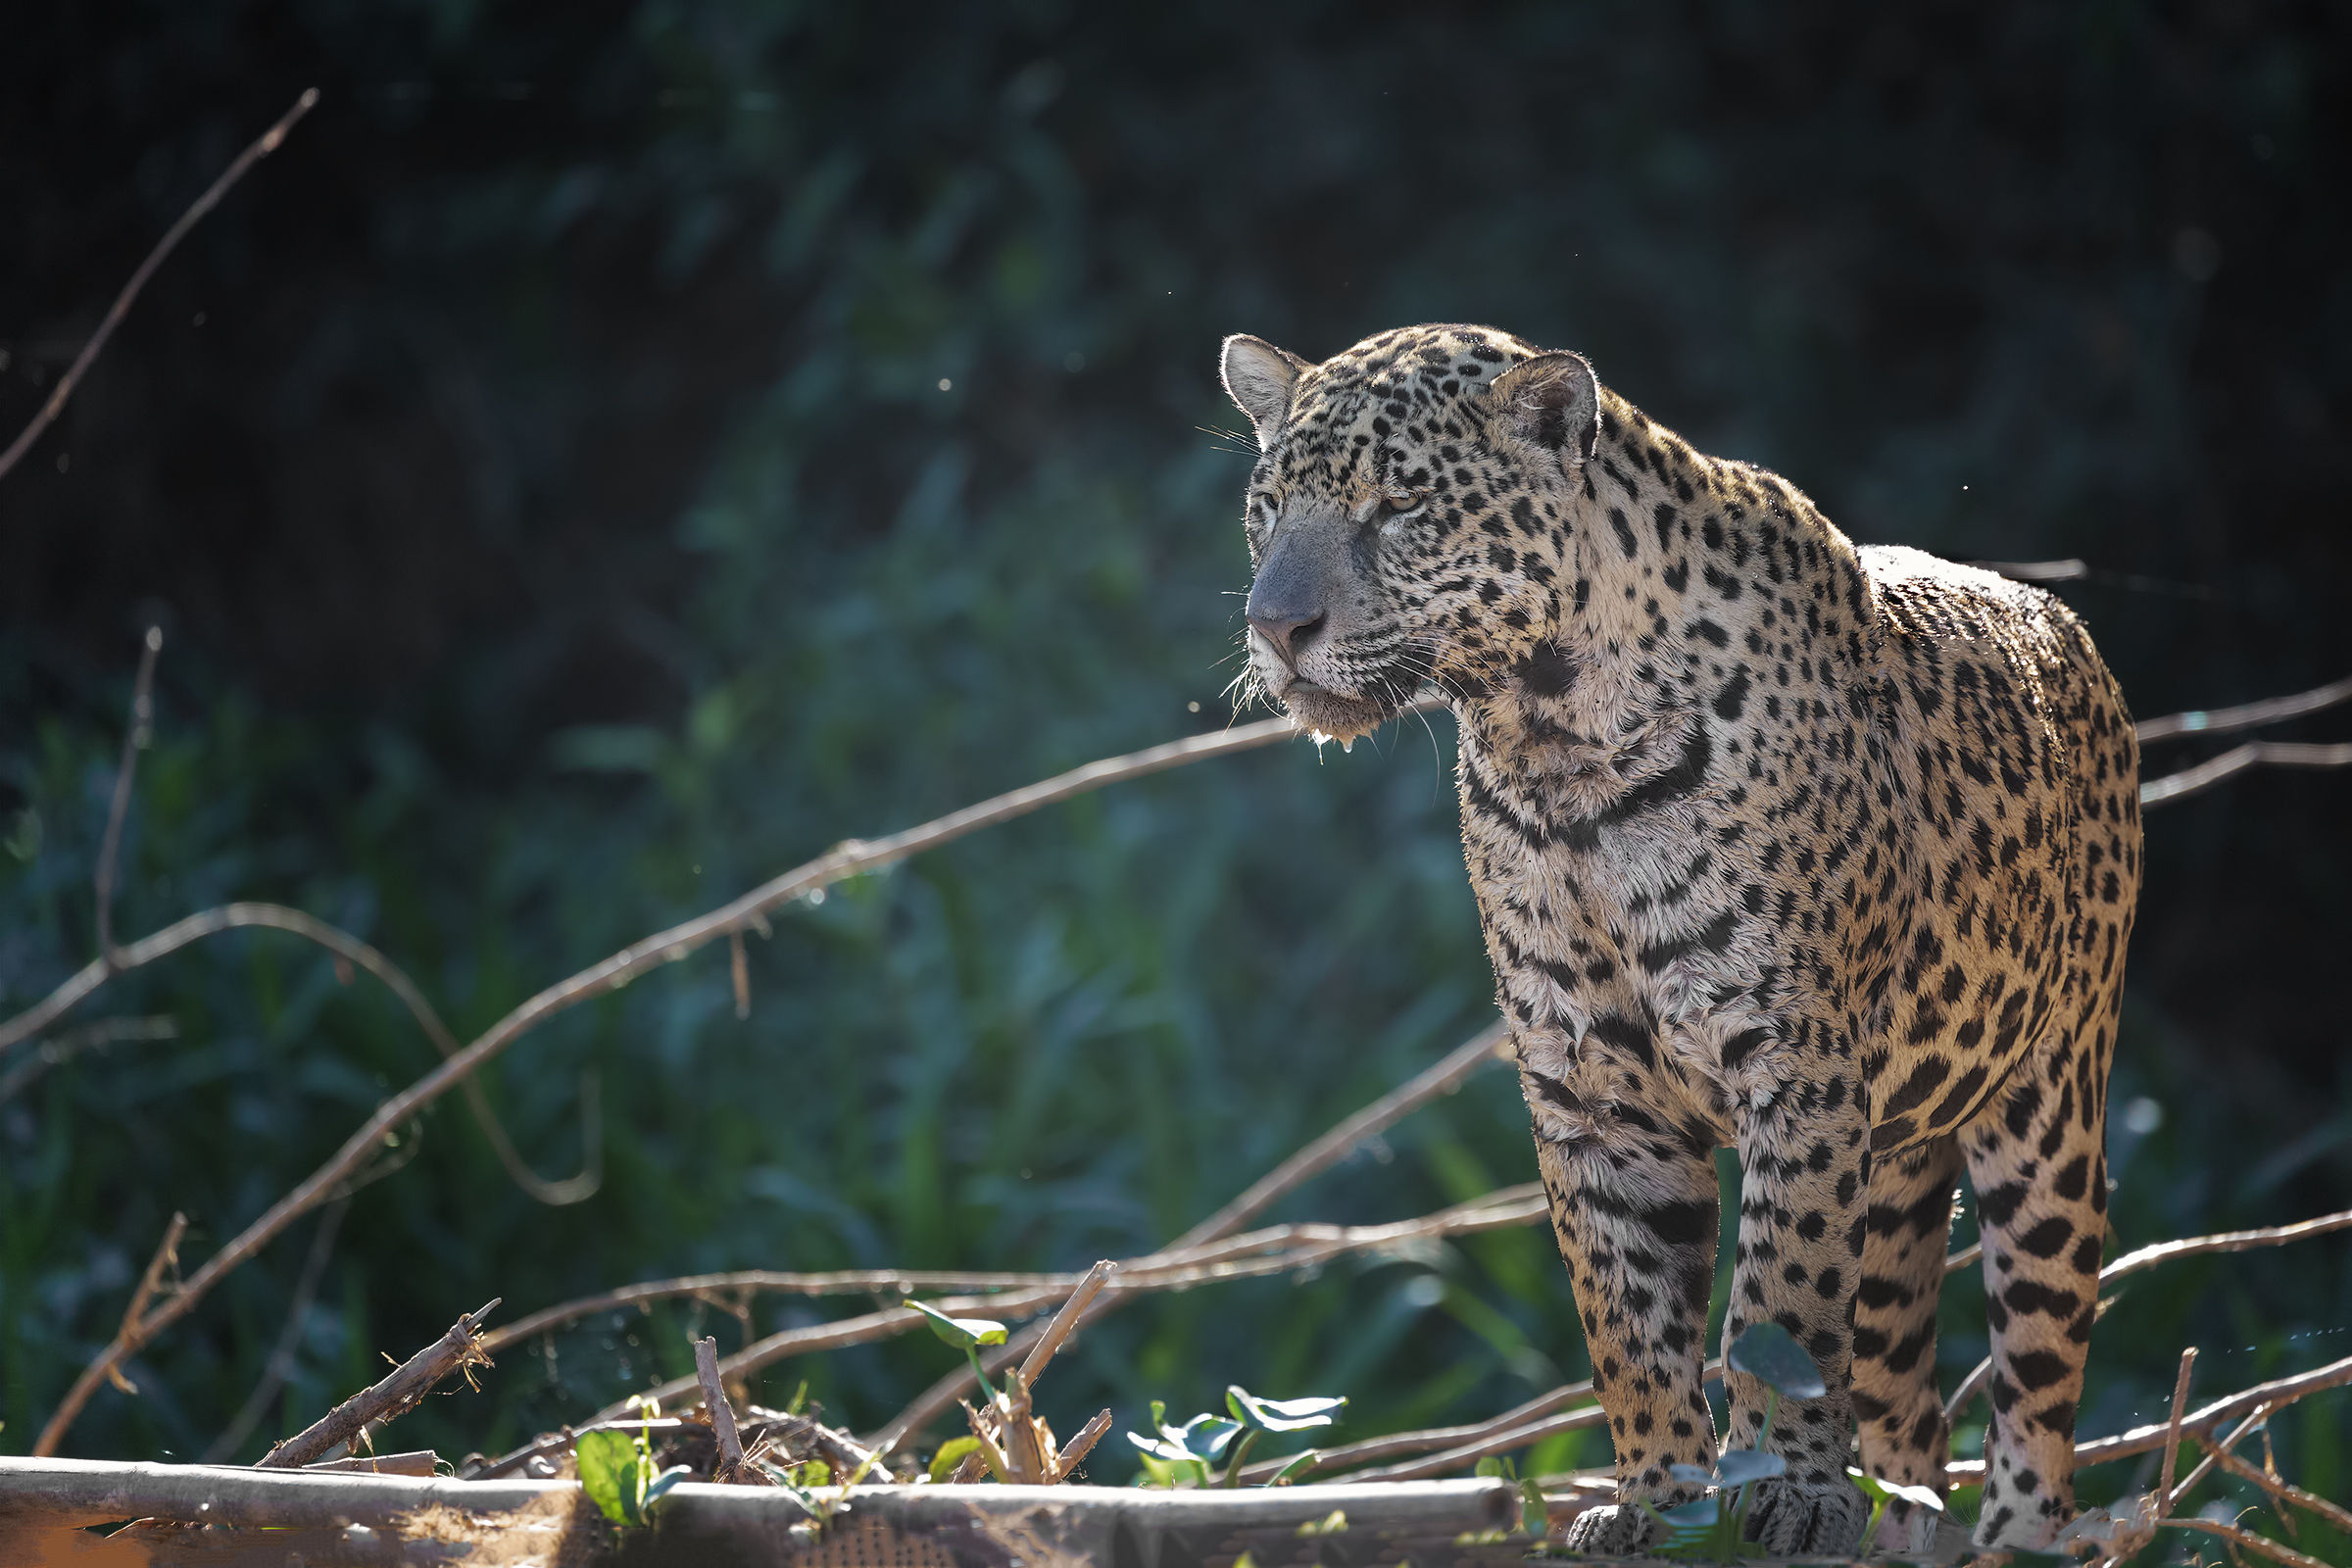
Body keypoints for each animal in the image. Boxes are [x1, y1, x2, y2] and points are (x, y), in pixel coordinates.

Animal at [1215, 323, 2140, 1554]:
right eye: (1268, 509)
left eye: (1399, 506)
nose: (1276, 628)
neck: (1552, 742)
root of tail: (2068, 631)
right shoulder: (1589, 1089)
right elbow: (1628, 1315)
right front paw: (1658, 1498)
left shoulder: (1798, 1069)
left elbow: (1779, 1308)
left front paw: (1781, 1491)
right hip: (1899, 1175)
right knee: (1908, 1404)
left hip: (2050, 1116)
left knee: (2036, 1384)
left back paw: (2021, 1535)